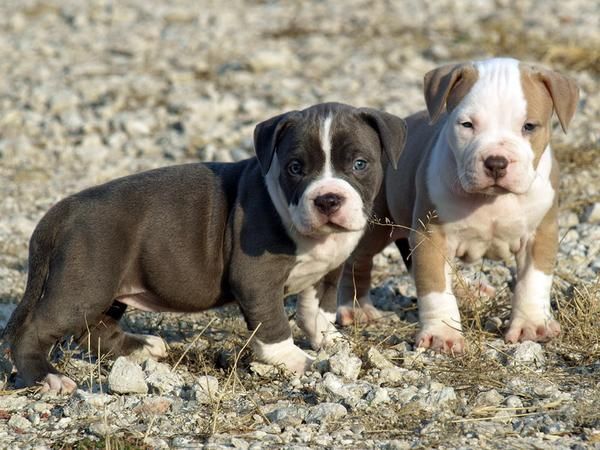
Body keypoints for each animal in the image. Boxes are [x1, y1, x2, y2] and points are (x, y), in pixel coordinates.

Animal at [3, 103, 408, 394]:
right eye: (295, 167)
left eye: (359, 164)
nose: (327, 199)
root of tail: (62, 210)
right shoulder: (256, 277)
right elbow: (273, 322)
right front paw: (294, 359)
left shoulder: (326, 271)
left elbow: (316, 310)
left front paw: (331, 341)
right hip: (84, 283)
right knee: (37, 330)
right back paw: (47, 378)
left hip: (109, 286)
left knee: (94, 329)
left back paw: (141, 346)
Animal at [338, 58, 576, 352]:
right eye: (467, 124)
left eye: (529, 126)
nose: (496, 162)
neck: (490, 199)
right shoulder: (430, 235)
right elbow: (435, 286)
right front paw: (442, 333)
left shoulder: (540, 233)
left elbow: (533, 280)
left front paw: (532, 324)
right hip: (373, 224)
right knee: (358, 260)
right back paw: (355, 308)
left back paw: (469, 293)